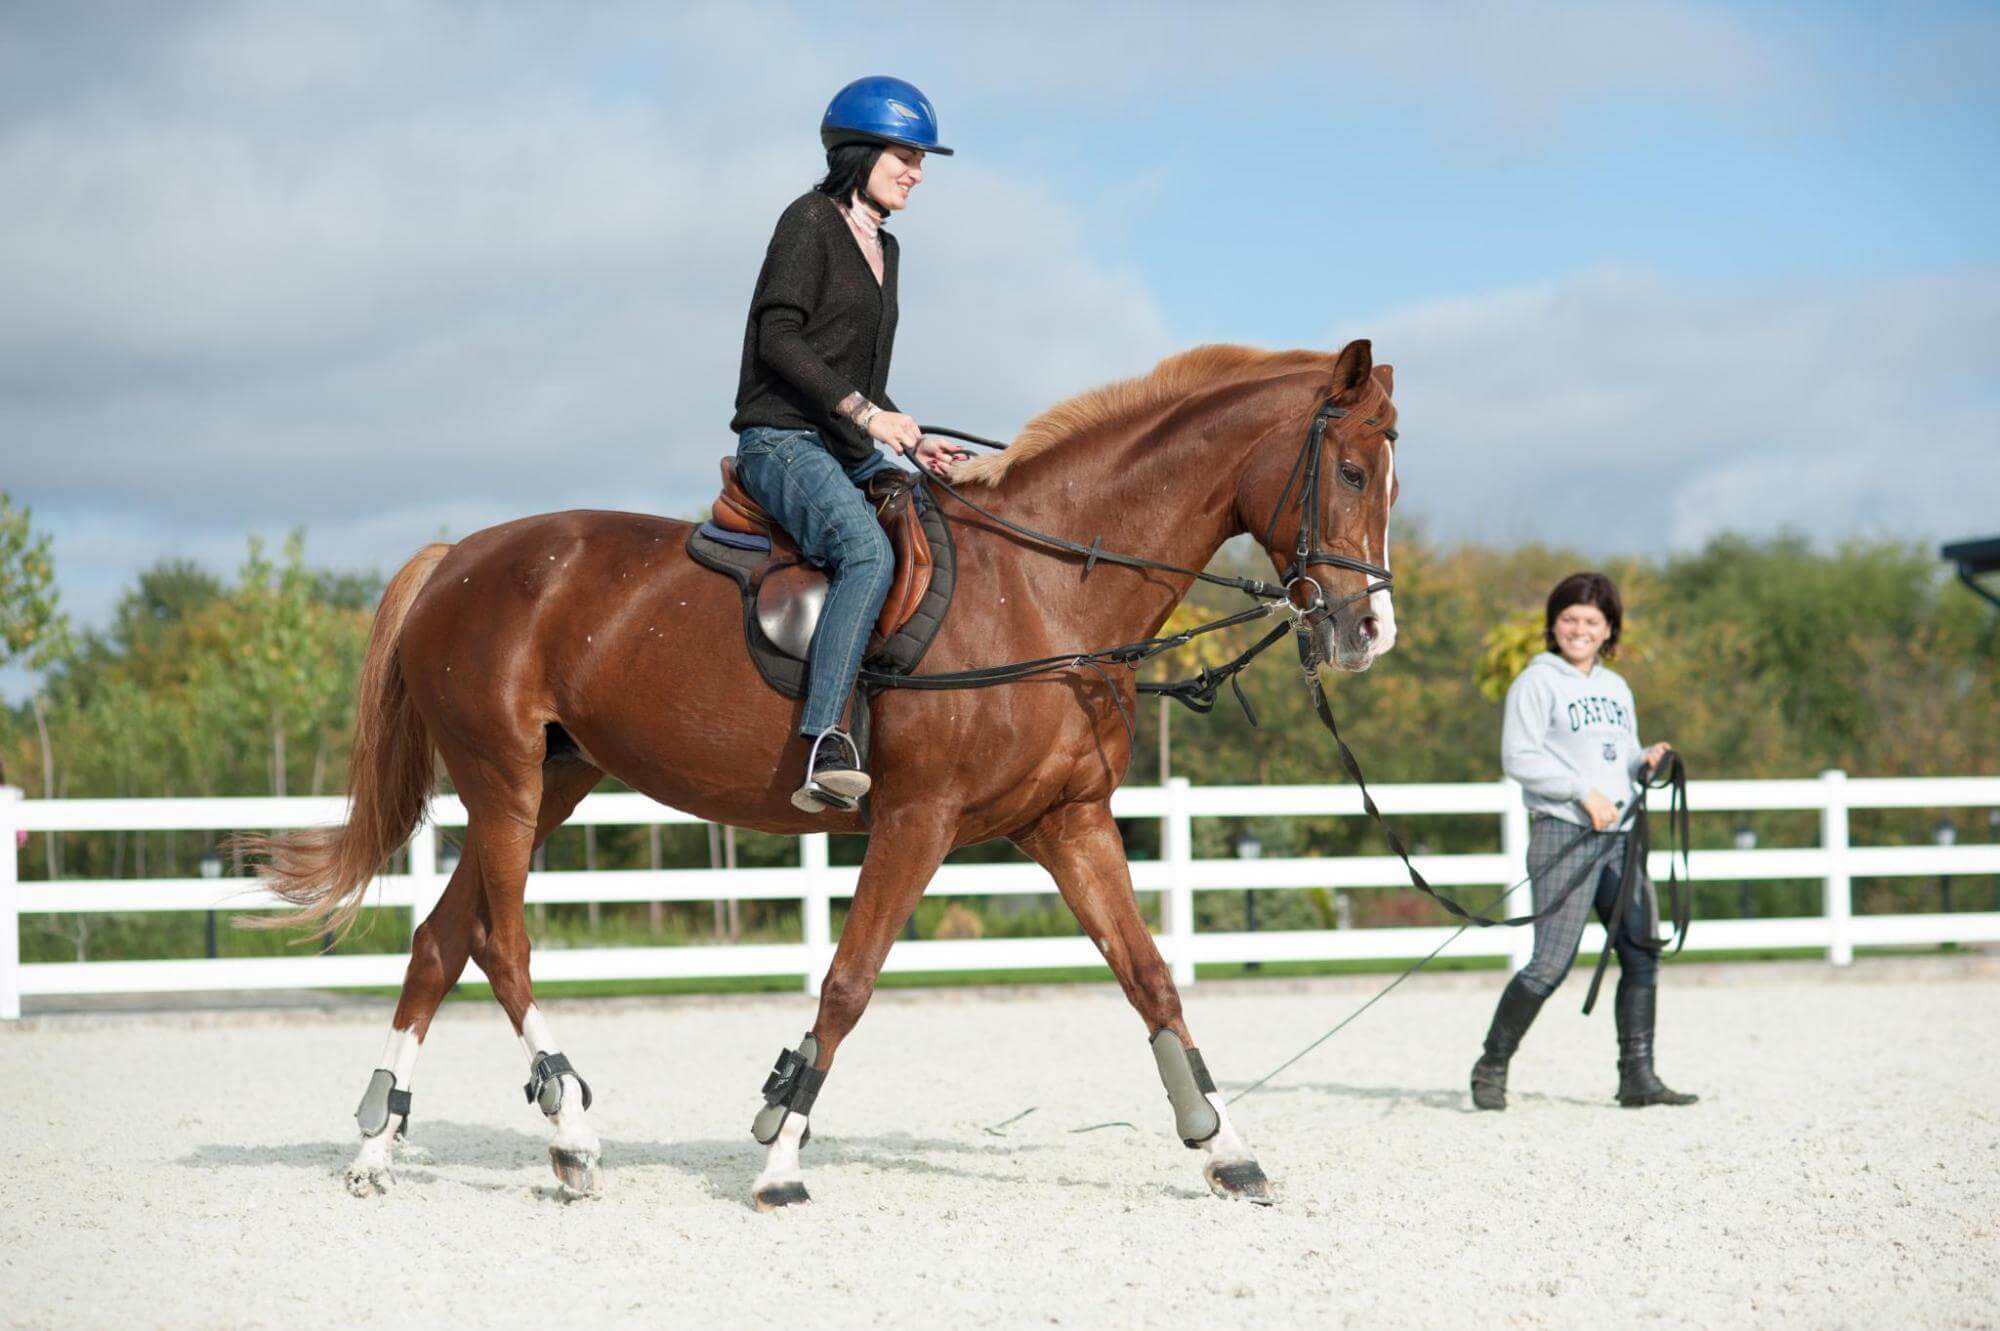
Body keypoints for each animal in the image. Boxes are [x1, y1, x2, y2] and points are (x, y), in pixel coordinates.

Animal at [250, 333, 1400, 1199]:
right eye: (1349, 471)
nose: (1367, 631)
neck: (1039, 588)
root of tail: (459, 557)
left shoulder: (1068, 819)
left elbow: (1149, 975)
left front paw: (1225, 1146)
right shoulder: (916, 819)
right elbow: (848, 982)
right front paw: (781, 1156)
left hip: (554, 782)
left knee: (440, 942)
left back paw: (376, 1146)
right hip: (502, 781)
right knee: (499, 939)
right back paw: (569, 1132)